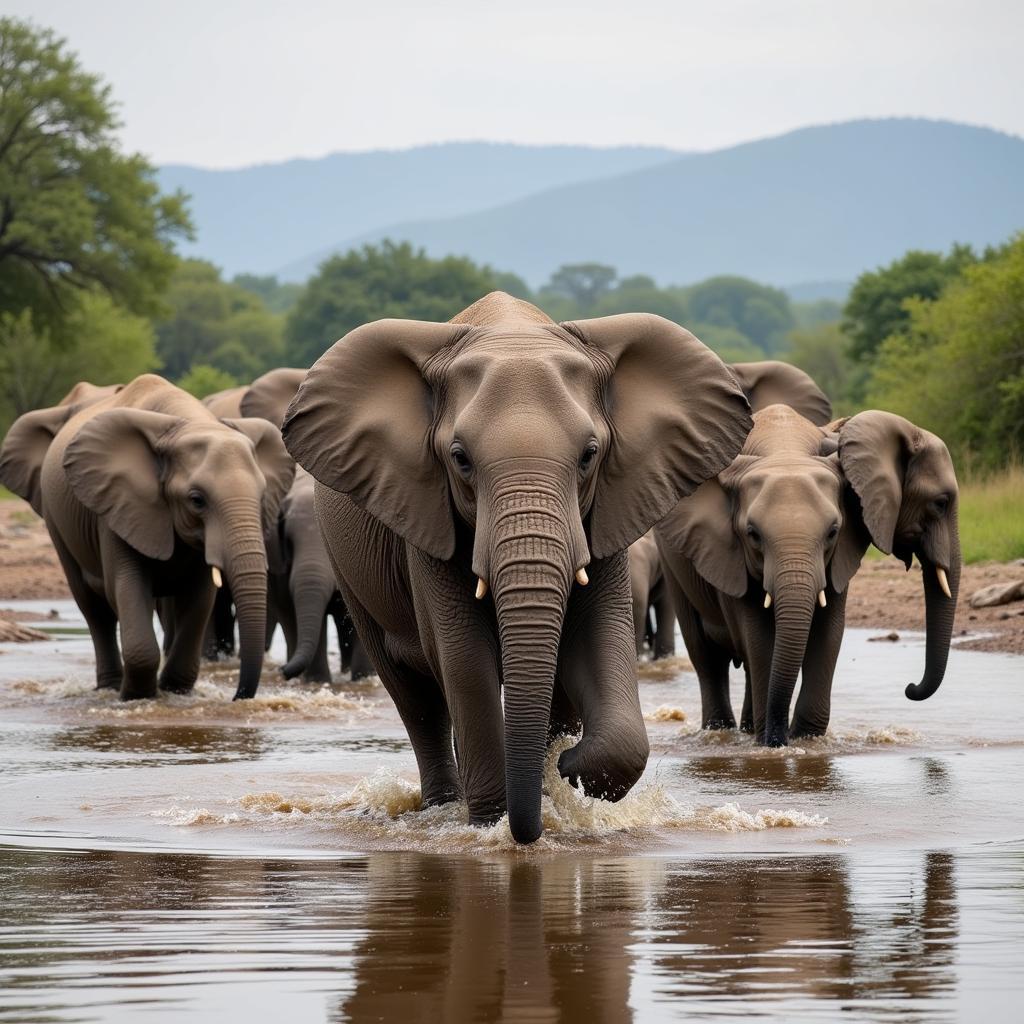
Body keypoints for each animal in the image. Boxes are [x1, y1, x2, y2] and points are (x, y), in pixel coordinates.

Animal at [3, 376, 292, 704]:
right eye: (197, 500)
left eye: (262, 498)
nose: (238, 696)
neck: (186, 424)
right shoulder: (116, 506)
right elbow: (126, 586)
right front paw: (137, 696)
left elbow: (200, 596)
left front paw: (175, 690)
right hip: (57, 522)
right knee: (94, 609)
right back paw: (110, 686)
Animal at [280, 290, 753, 839]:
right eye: (460, 459)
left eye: (590, 455)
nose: (562, 767)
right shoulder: (426, 520)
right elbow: (464, 658)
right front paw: (494, 824)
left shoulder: (607, 511)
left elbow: (597, 637)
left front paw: (565, 771)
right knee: (417, 701)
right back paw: (445, 805)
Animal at [655, 399, 958, 745]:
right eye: (753, 534)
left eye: (833, 531)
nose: (910, 688)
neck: (784, 451)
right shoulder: (729, 554)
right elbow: (758, 636)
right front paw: (773, 743)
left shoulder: (842, 551)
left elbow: (830, 630)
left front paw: (806, 740)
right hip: (673, 566)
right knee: (707, 657)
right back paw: (722, 731)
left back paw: (748, 729)